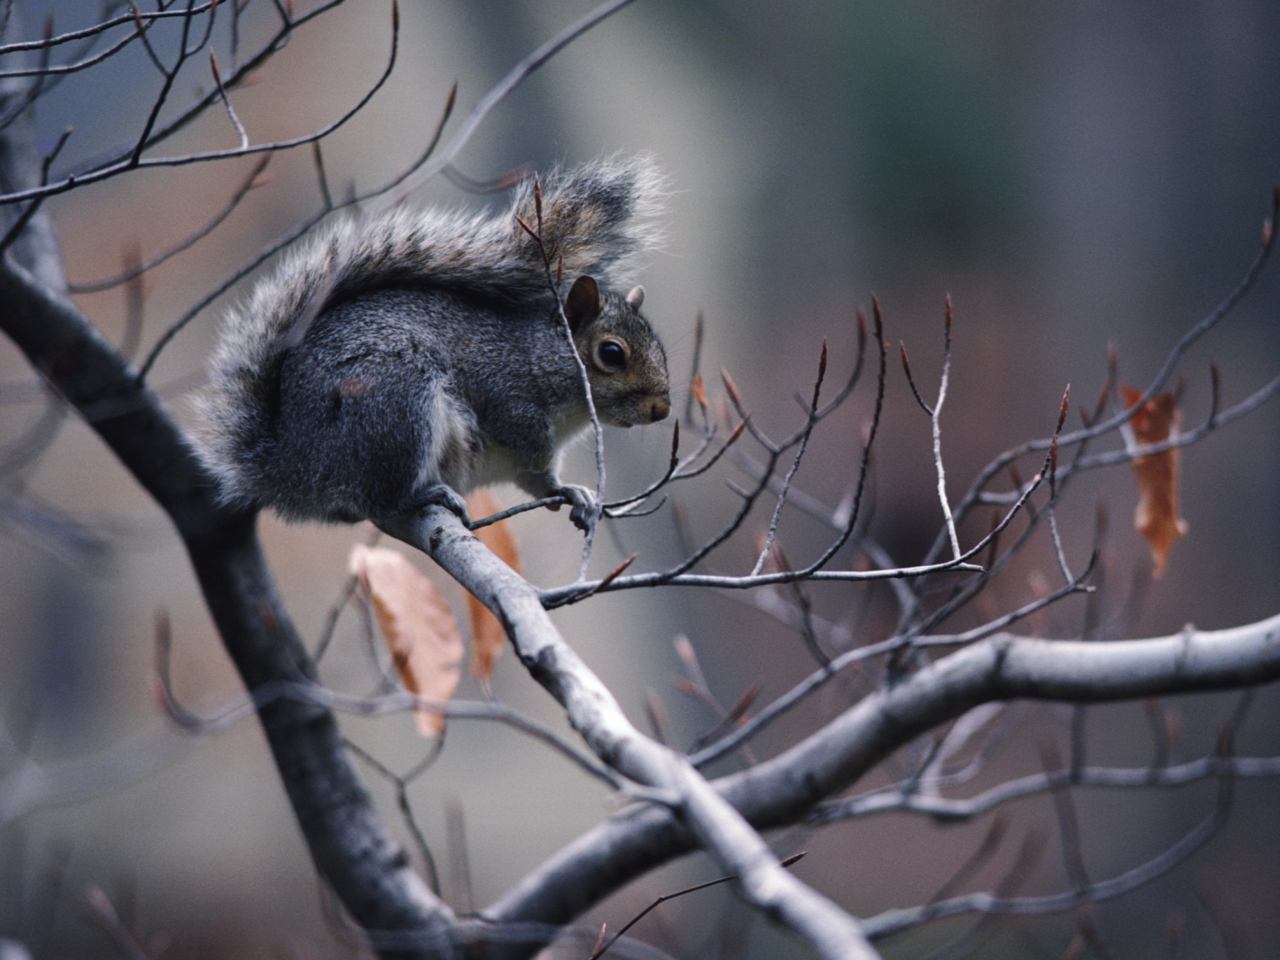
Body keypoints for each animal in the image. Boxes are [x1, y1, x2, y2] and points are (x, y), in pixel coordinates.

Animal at [194, 158, 670, 535]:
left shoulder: (526, 466)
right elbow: (517, 428)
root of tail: (289, 465)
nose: (662, 411)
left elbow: (540, 482)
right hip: (395, 403)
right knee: (377, 497)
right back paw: (422, 497)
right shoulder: (504, 386)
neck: (541, 358)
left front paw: (574, 494)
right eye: (611, 353)